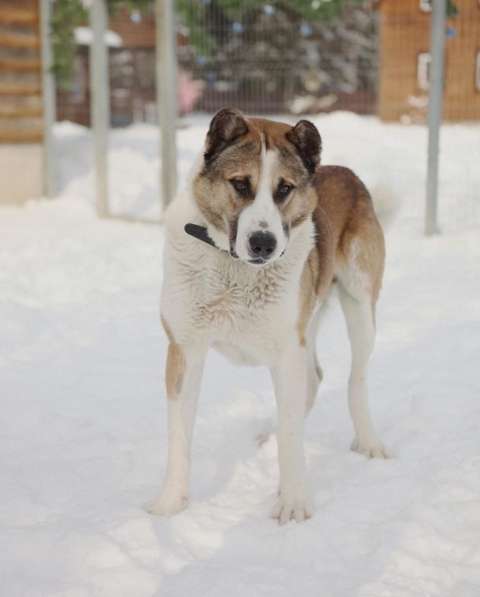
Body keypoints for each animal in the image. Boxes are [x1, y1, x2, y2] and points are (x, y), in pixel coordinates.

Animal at [148, 109, 388, 524]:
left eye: (284, 189)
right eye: (241, 184)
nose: (264, 243)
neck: (234, 271)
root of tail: (346, 172)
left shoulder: (287, 349)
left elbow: (293, 438)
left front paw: (293, 502)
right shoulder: (185, 349)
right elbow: (179, 435)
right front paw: (171, 504)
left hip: (359, 307)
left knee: (354, 380)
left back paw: (369, 442)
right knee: (313, 380)